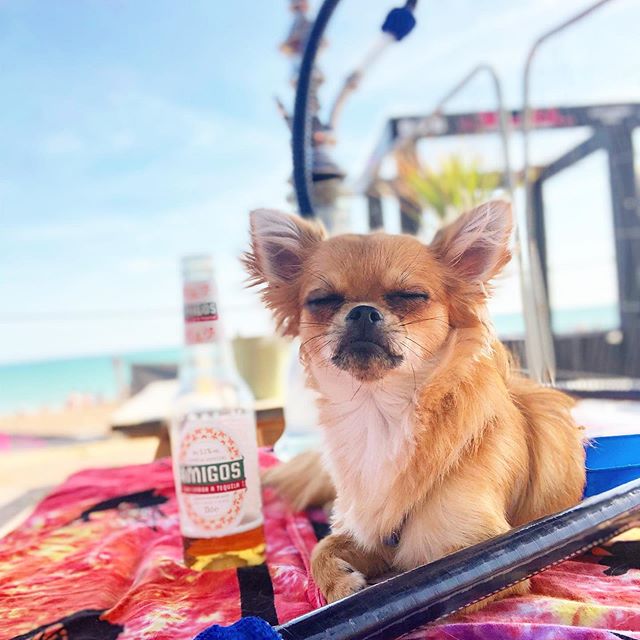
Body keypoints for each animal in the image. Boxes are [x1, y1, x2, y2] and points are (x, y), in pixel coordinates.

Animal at [244, 202, 584, 608]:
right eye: (322, 301)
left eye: (409, 295)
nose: (362, 311)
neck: (381, 414)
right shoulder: (369, 531)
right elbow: (320, 548)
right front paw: (340, 584)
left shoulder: (488, 557)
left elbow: (422, 578)